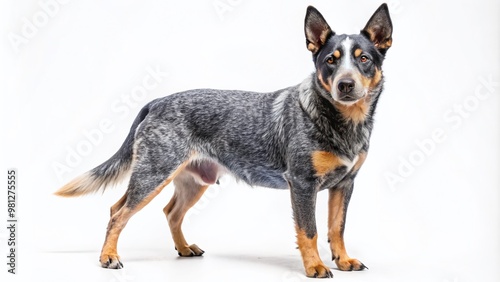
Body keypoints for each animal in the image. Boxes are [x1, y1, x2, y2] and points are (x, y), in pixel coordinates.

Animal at [56, 3, 392, 278]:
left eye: (363, 59)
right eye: (330, 61)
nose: (345, 84)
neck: (343, 123)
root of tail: (157, 101)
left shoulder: (344, 184)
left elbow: (337, 227)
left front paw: (343, 260)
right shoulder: (302, 183)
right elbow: (309, 230)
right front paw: (316, 267)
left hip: (192, 181)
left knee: (170, 212)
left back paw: (184, 248)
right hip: (153, 174)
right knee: (118, 212)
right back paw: (108, 257)